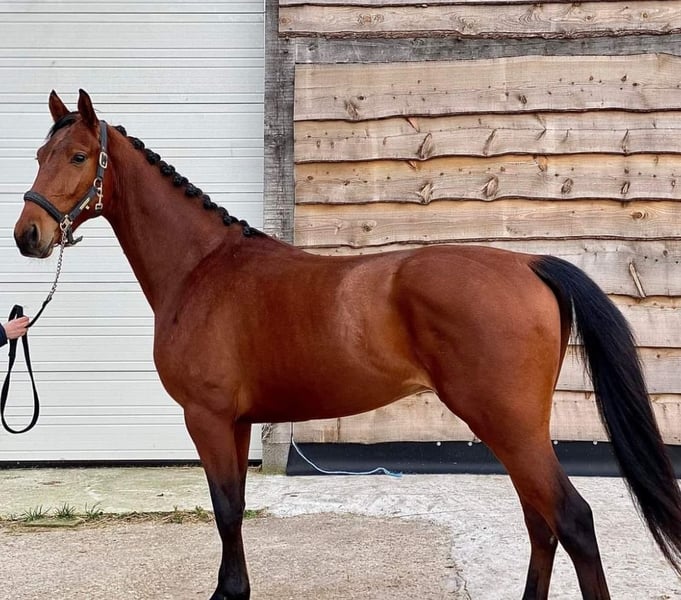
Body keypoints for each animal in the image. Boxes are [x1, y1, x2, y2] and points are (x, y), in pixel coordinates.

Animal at [13, 89, 681, 600]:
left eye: (78, 155)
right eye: (40, 153)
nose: (29, 234)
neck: (202, 269)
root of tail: (530, 264)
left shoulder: (206, 417)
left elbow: (226, 509)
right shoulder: (233, 422)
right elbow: (233, 508)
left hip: (508, 425)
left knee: (572, 521)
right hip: (516, 431)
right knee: (541, 524)